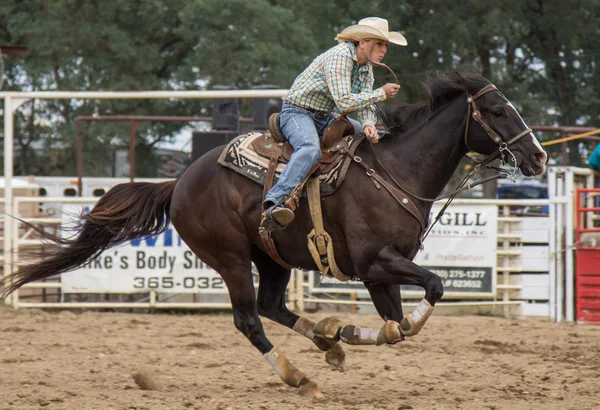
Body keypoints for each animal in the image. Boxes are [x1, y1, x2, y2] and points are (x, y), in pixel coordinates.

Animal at [0, 73, 548, 398]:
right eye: (498, 111)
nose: (540, 157)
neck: (396, 170)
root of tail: (181, 181)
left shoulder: (379, 273)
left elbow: (396, 326)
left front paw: (346, 333)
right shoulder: (375, 262)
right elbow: (429, 292)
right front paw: (349, 335)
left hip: (273, 258)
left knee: (271, 305)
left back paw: (328, 340)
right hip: (230, 258)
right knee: (249, 318)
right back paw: (299, 376)